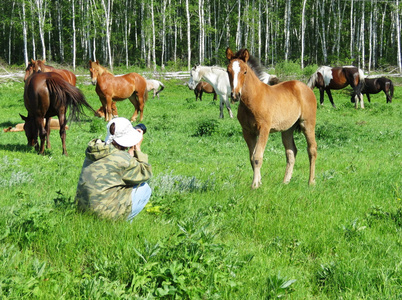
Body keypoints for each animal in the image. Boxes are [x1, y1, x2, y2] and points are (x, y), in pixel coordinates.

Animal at [226, 48, 318, 189]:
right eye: (228, 71)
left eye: (245, 71)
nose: (235, 95)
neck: (253, 99)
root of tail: (306, 87)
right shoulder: (247, 131)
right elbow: (252, 158)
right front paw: (259, 182)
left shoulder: (264, 129)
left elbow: (257, 157)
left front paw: (254, 185)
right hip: (287, 129)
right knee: (291, 152)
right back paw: (285, 182)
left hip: (307, 123)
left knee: (312, 149)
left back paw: (311, 182)